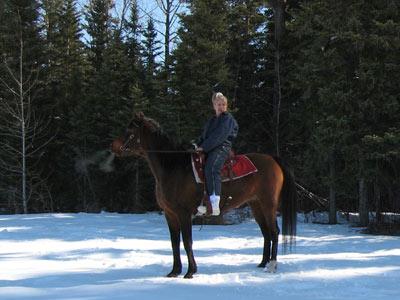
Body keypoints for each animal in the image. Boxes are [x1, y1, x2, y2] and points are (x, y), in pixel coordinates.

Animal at [111, 112, 296, 278]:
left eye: (130, 131)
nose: (113, 147)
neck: (173, 167)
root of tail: (272, 159)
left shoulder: (184, 213)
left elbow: (187, 242)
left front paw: (190, 272)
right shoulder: (170, 214)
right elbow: (174, 243)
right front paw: (174, 271)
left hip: (268, 204)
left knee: (274, 231)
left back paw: (272, 265)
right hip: (256, 204)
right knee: (266, 232)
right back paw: (263, 263)